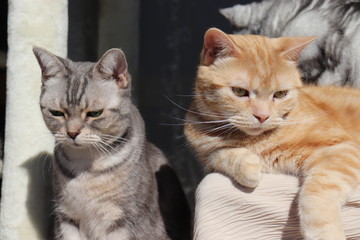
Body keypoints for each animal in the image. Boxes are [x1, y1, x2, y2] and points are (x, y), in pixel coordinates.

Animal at [33, 47, 191, 240]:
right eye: (57, 113)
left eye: (94, 113)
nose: (72, 133)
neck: (85, 168)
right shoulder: (65, 217)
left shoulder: (123, 219)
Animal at [187, 28, 360, 240]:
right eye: (239, 91)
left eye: (280, 94)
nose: (262, 116)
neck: (254, 140)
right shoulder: (206, 156)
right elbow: (219, 153)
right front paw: (248, 166)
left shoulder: (343, 148)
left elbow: (315, 196)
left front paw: (324, 234)